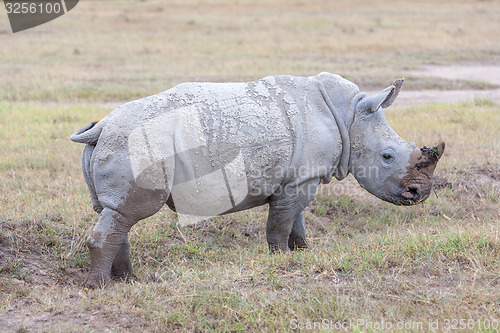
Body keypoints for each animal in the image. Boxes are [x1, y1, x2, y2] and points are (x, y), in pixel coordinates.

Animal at [70, 72, 446, 288]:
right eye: (388, 156)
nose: (419, 192)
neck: (350, 116)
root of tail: (101, 128)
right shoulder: (298, 179)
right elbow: (280, 223)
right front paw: (280, 259)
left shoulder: (301, 176)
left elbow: (297, 219)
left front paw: (303, 253)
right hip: (138, 143)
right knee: (129, 212)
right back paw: (100, 288)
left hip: (124, 142)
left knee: (116, 213)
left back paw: (130, 282)